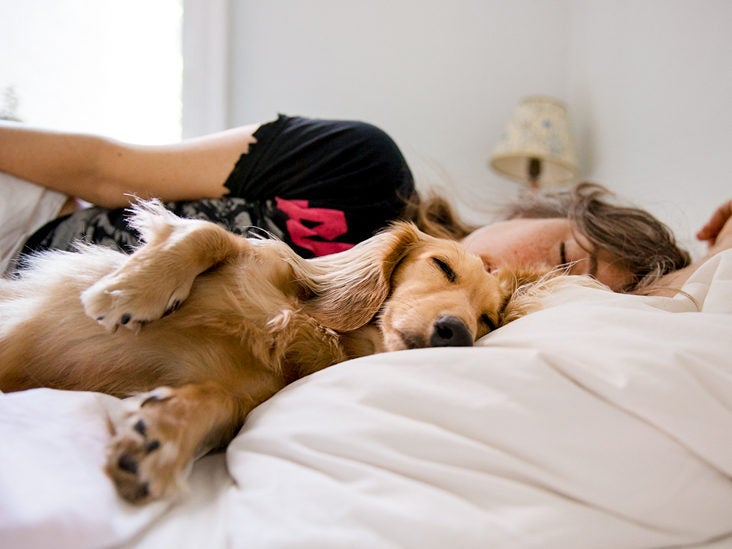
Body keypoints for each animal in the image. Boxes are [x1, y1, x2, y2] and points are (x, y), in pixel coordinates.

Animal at [0, 199, 548, 504]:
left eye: (488, 320)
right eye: (443, 266)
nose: (458, 331)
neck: (311, 328)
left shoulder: (245, 393)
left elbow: (218, 401)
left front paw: (159, 438)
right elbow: (210, 233)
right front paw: (129, 291)